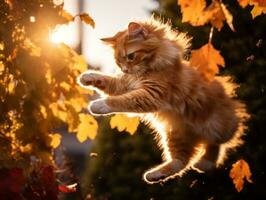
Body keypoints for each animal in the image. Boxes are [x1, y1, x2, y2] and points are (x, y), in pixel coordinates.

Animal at [78, 18, 248, 184]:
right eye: (119, 62)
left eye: (131, 57)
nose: (125, 69)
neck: (146, 70)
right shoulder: (125, 85)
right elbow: (108, 82)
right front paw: (87, 77)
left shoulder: (151, 94)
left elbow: (120, 101)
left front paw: (99, 105)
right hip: (176, 134)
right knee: (181, 161)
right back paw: (156, 174)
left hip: (217, 127)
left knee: (219, 143)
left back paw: (205, 163)